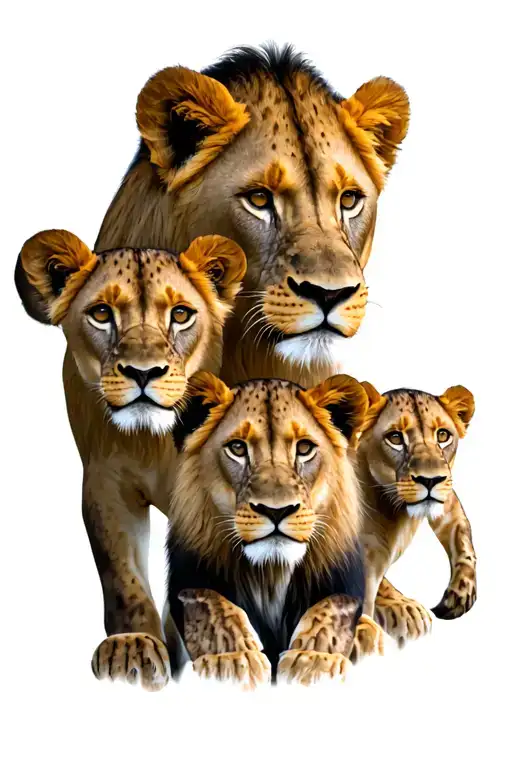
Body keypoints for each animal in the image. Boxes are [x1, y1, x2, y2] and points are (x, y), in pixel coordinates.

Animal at [15, 229, 246, 691]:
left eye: (180, 314)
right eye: (102, 313)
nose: (143, 372)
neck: (154, 441)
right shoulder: (106, 483)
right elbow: (122, 573)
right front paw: (133, 648)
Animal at [166, 371, 384, 688]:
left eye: (304, 448)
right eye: (237, 448)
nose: (276, 510)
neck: (271, 574)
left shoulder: (344, 588)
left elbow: (333, 608)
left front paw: (313, 660)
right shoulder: (188, 581)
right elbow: (209, 605)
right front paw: (233, 660)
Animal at [355, 382, 477, 649]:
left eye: (443, 435)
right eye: (395, 438)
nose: (430, 480)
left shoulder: (446, 495)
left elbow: (462, 535)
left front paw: (461, 592)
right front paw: (403, 610)